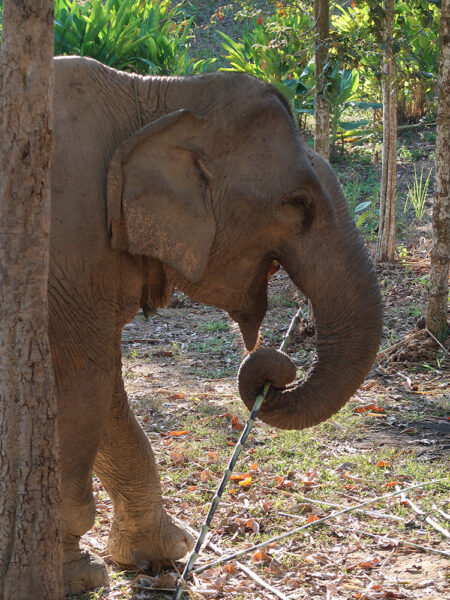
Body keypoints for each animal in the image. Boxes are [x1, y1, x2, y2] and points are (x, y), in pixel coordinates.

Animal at [51, 57, 384, 596]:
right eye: (298, 204)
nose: (273, 371)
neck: (157, 96)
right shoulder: (69, 246)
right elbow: (81, 387)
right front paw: (76, 575)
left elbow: (107, 394)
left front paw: (165, 552)